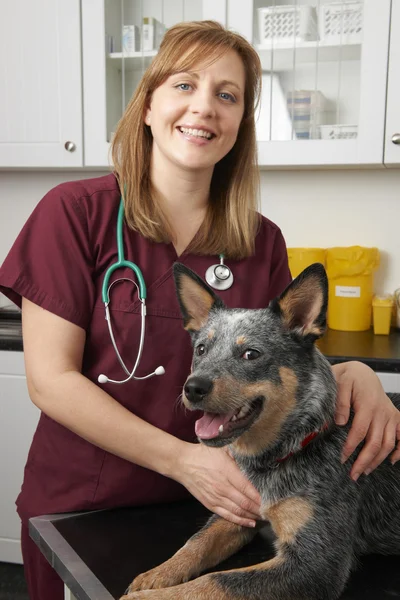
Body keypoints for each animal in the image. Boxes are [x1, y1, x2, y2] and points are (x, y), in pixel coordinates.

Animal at [122, 262, 400, 600]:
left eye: (251, 354)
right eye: (201, 349)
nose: (192, 388)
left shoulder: (316, 562)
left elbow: (215, 581)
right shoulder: (236, 511)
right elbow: (196, 542)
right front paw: (156, 575)